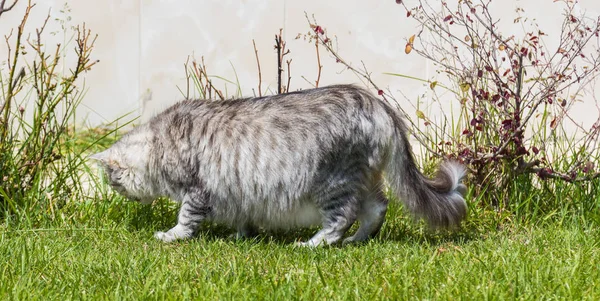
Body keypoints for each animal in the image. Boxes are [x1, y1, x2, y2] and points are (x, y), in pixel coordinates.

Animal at [91, 84, 468, 246]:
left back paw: (315, 244)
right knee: (377, 209)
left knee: (340, 219)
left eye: (114, 182)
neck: (162, 142)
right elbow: (243, 217)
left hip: (332, 181)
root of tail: (374, 103)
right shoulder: (238, 188)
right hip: (364, 178)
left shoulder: (197, 190)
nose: (122, 194)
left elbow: (185, 220)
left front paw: (170, 237)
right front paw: (242, 237)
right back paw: (357, 240)